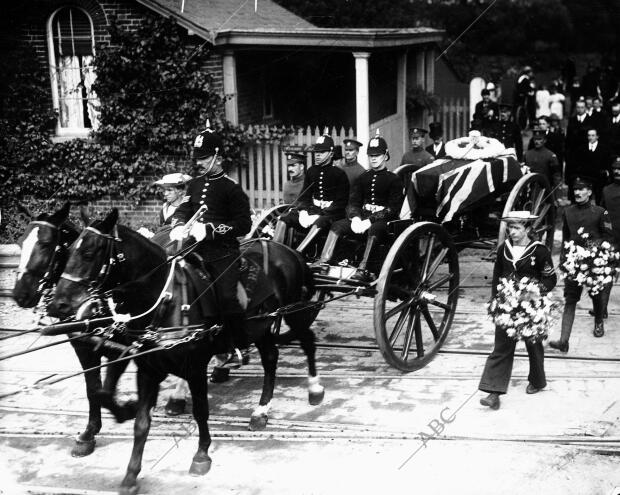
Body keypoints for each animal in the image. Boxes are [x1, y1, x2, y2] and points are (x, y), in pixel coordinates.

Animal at [11, 204, 137, 458]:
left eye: (46, 244)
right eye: (20, 242)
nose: (20, 294)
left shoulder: (119, 348)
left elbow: (104, 389)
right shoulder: (83, 347)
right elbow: (93, 388)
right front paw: (89, 433)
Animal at [48, 207, 324, 494]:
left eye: (90, 253)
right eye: (68, 251)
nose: (59, 304)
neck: (163, 302)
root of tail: (288, 251)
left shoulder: (195, 366)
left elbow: (200, 410)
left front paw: (201, 455)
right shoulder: (146, 369)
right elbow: (138, 421)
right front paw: (131, 472)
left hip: (291, 312)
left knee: (307, 340)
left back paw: (314, 389)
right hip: (261, 326)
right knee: (271, 357)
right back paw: (260, 411)